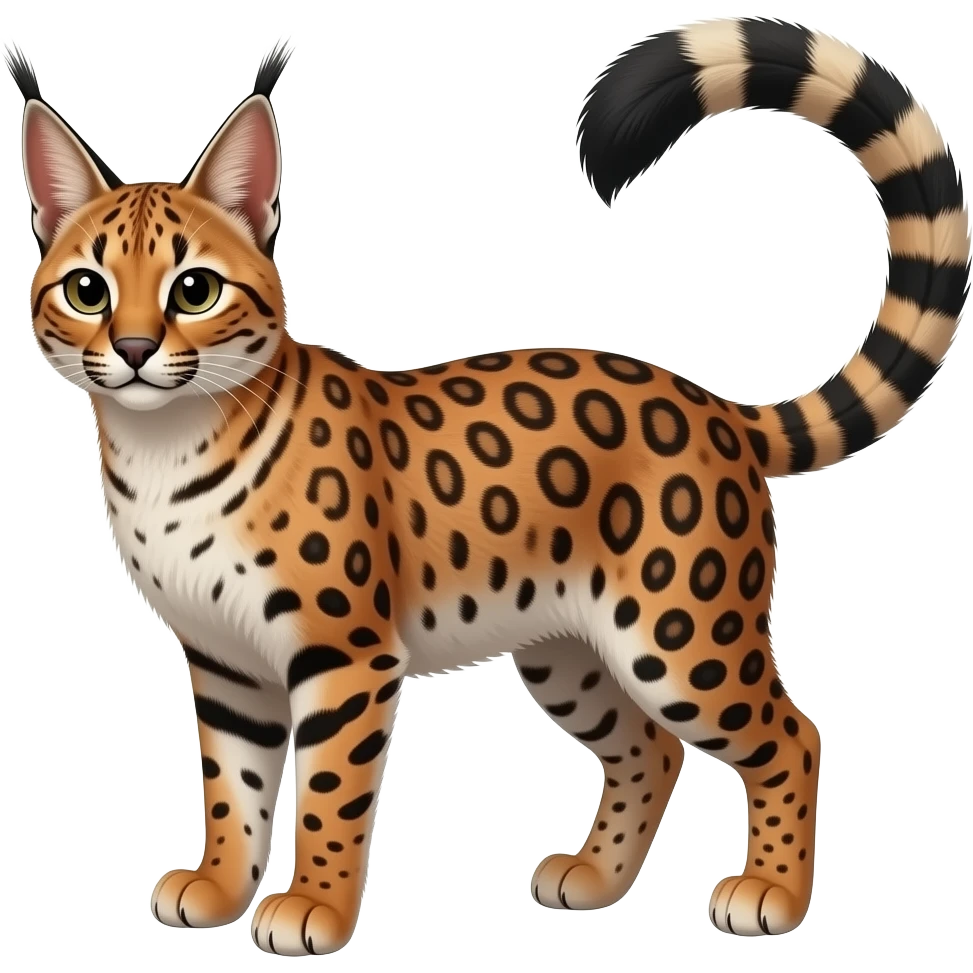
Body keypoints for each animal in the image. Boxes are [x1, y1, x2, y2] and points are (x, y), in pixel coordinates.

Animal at [6, 16, 970, 955]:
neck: (162, 448)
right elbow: (230, 788)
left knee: (790, 734)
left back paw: (771, 891)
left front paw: (313, 906)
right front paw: (218, 886)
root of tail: (712, 404)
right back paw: (595, 876)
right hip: (566, 649)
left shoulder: (345, 657)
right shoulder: (225, 659)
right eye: (87, 289)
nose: (133, 349)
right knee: (650, 748)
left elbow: (328, 797)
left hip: (679, 632)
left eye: (195, 289)